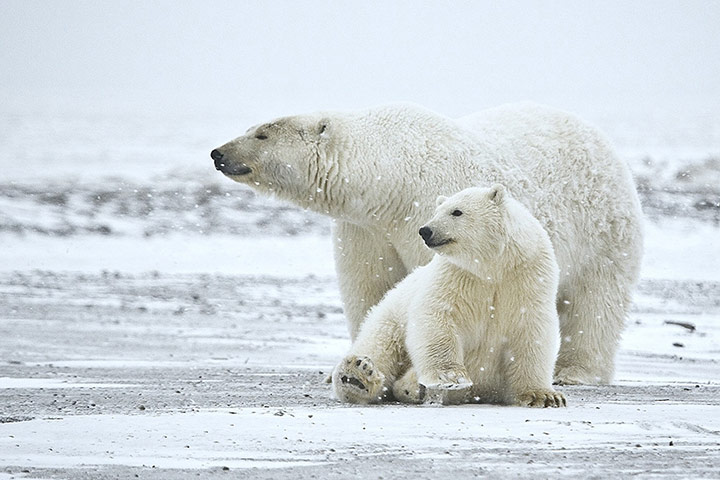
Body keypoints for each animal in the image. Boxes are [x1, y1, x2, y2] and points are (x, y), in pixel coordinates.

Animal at [331, 184, 566, 407]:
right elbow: (437, 314)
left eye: (457, 211)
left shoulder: (528, 278)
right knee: (380, 345)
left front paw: (543, 396)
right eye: (436, 211)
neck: (493, 267)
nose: (425, 230)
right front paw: (450, 377)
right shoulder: (456, 275)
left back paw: (410, 385)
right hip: (391, 316)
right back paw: (357, 376)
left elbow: (531, 331)